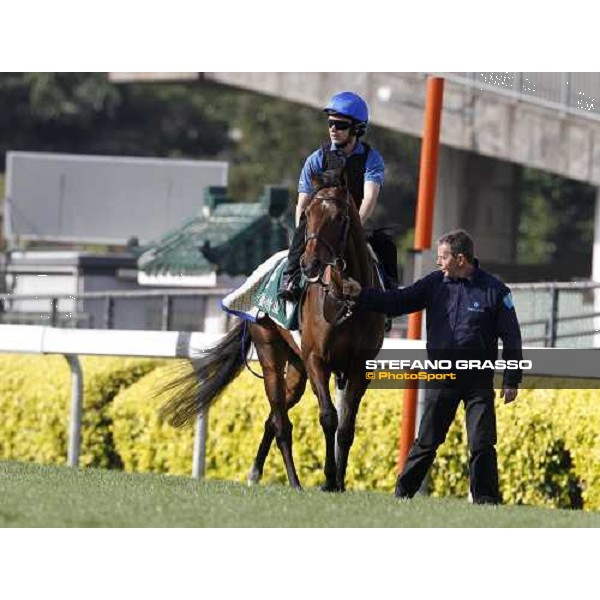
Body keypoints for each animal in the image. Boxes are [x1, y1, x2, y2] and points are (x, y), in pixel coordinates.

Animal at [159, 171, 384, 490]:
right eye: (307, 215)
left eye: (340, 217)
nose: (310, 263)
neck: (342, 299)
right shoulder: (317, 360)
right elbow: (329, 417)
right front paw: (328, 479)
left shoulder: (360, 365)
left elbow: (346, 427)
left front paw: (339, 483)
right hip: (271, 353)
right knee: (281, 422)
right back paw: (292, 481)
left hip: (297, 367)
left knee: (274, 417)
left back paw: (256, 473)